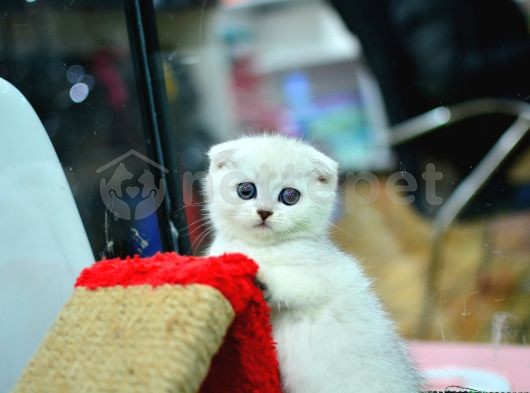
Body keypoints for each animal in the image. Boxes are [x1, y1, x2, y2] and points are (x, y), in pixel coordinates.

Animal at [203, 135, 420, 392]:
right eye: (245, 190)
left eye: (290, 196)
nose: (264, 212)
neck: (263, 247)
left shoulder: (323, 277)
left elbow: (298, 283)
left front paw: (264, 278)